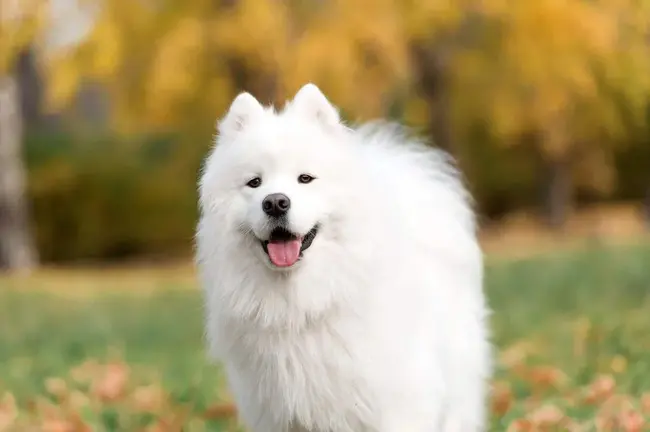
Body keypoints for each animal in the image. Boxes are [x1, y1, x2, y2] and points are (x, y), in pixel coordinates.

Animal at [195, 82, 488, 430]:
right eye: (254, 182)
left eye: (305, 178)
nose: (276, 202)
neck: (303, 306)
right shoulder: (279, 413)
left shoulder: (397, 401)